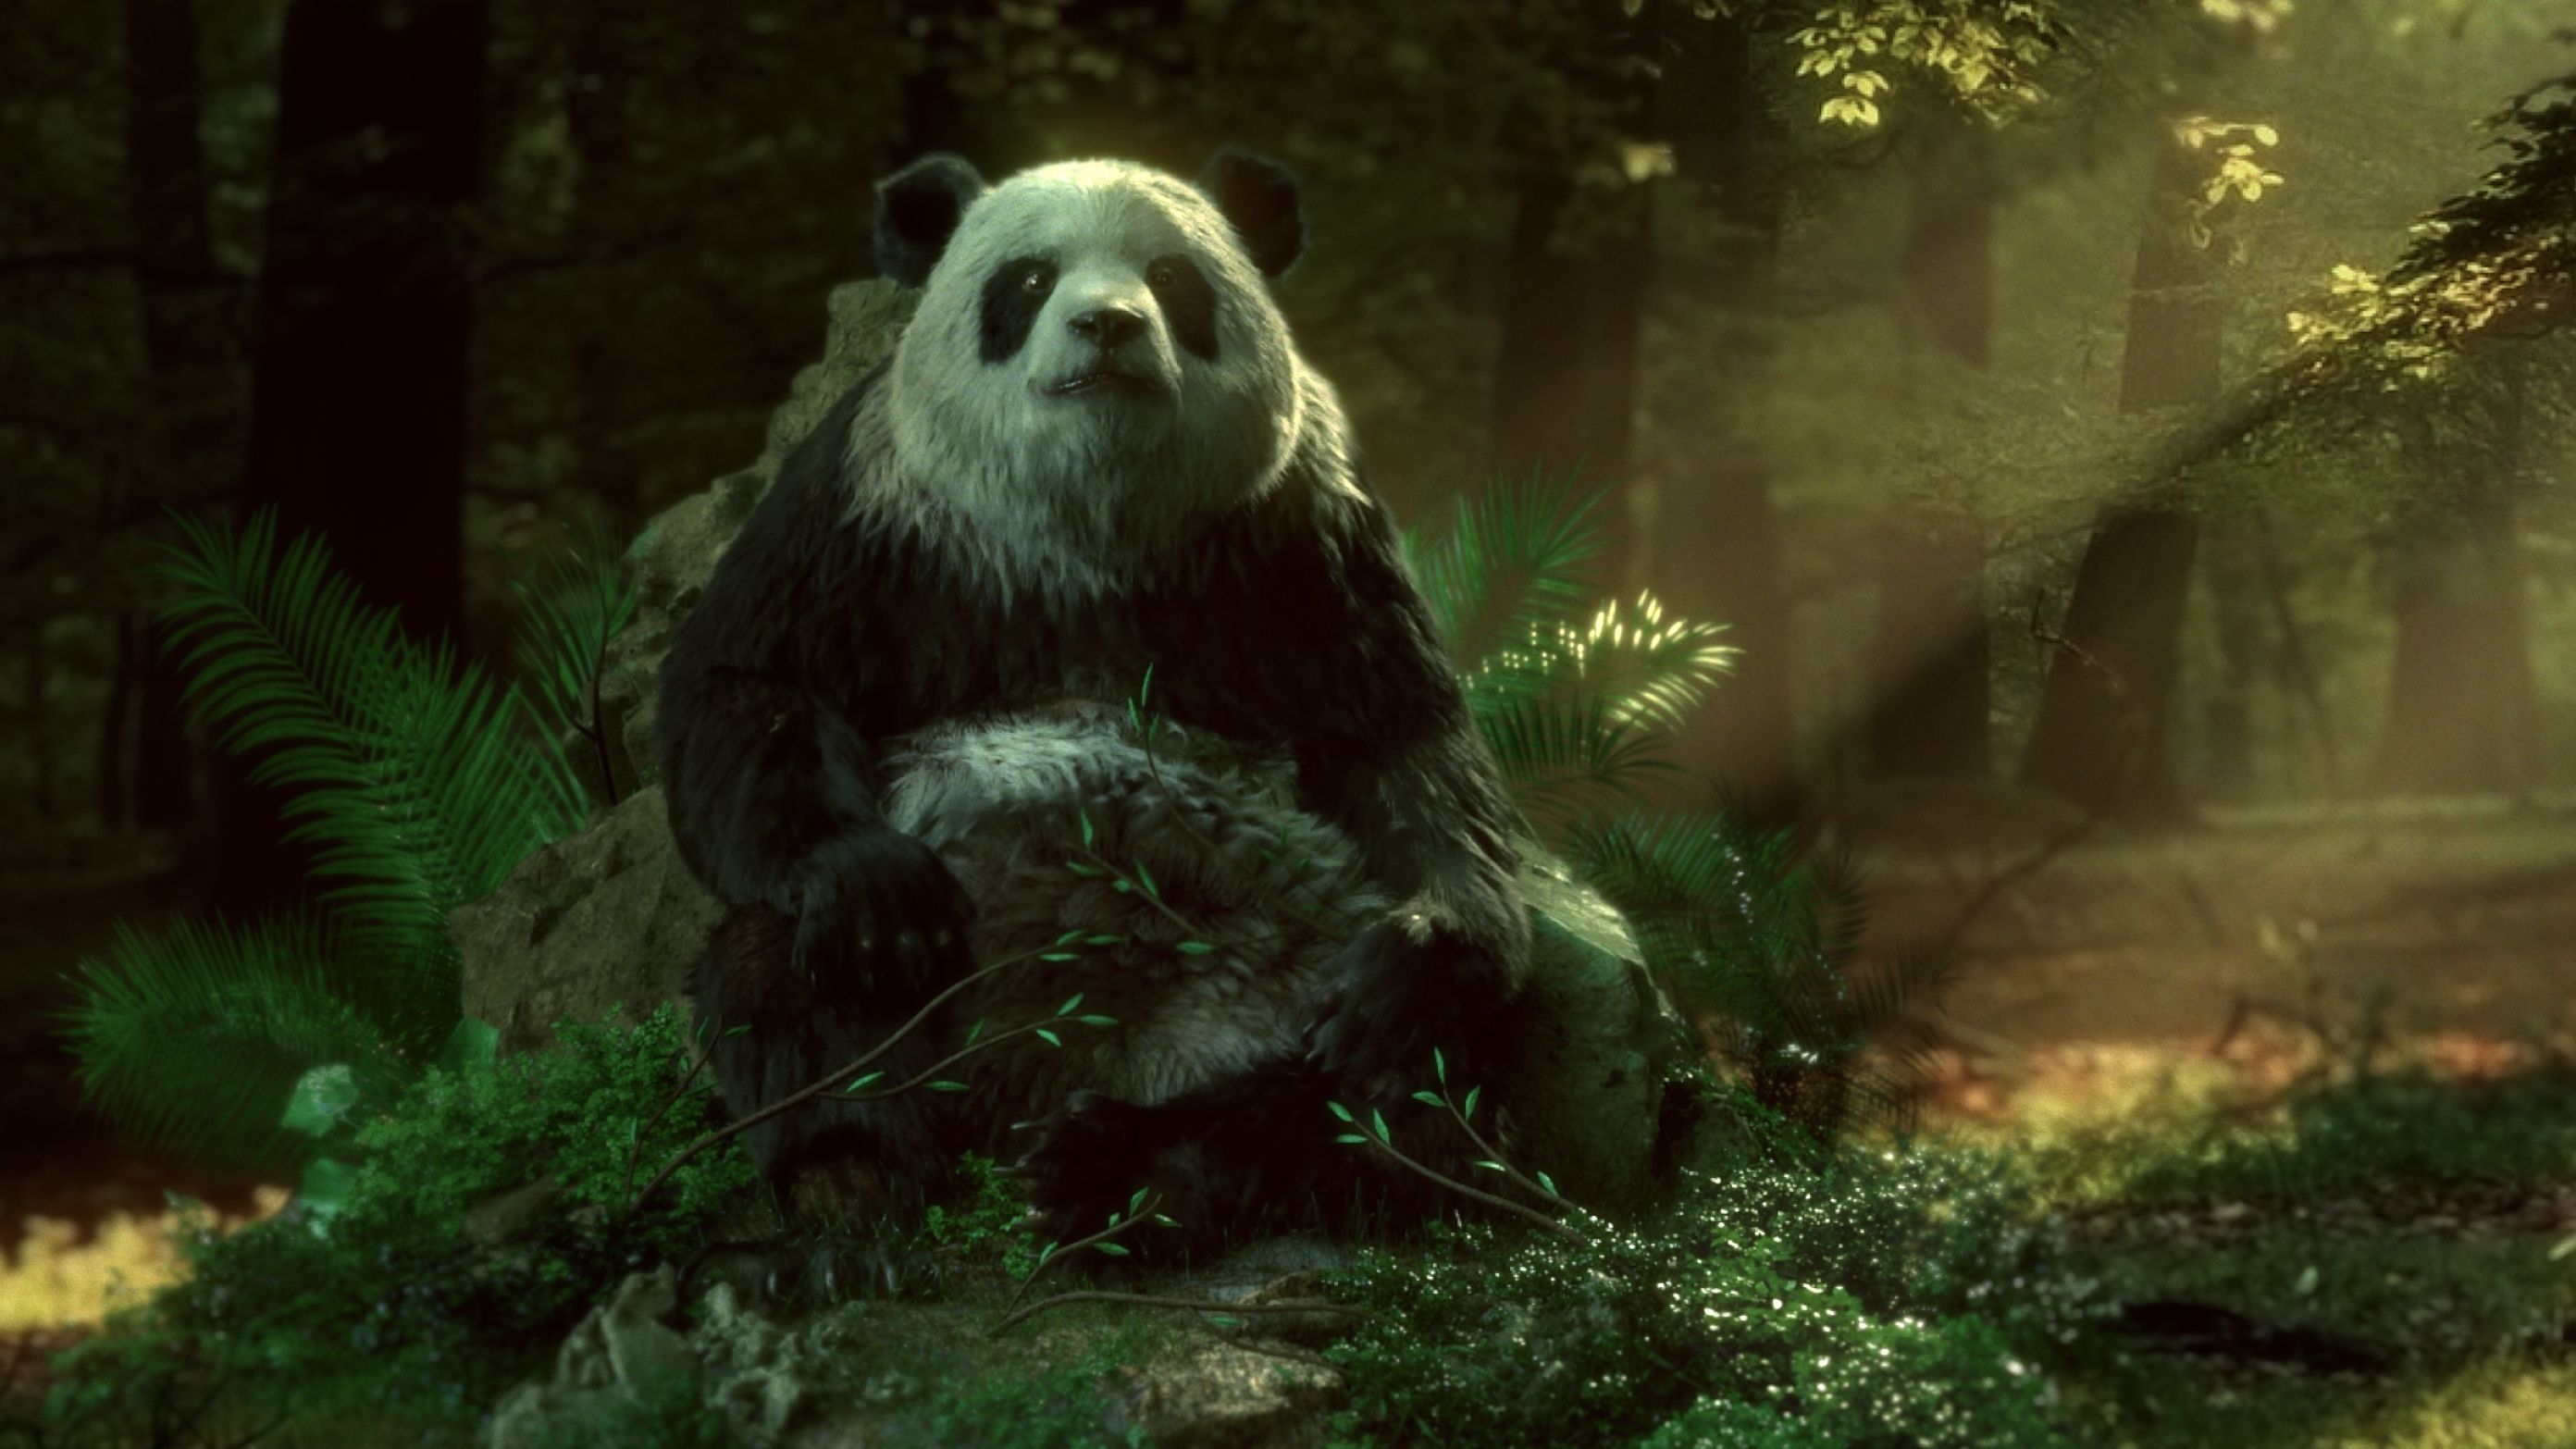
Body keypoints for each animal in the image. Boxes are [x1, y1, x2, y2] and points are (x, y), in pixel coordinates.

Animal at [655, 149, 1530, 1286]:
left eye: (1172, 279)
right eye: (1028, 280)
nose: (1107, 324)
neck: (1092, 519)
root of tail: (1032, 1073)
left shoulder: (1297, 532)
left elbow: (1401, 739)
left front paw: (1416, 955)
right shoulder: (875, 511)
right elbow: (746, 681)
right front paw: (877, 891)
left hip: (1280, 971)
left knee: (1397, 1096)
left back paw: (1119, 1175)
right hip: (937, 976)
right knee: (784, 984)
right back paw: (856, 1189)